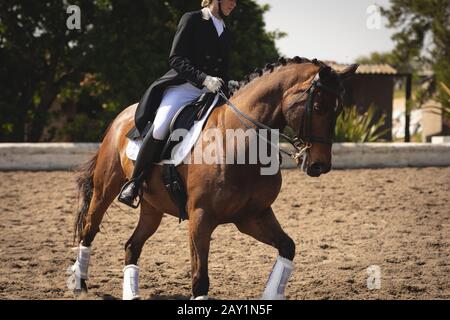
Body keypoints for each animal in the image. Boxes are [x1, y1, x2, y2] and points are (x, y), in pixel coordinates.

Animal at [69, 57, 358, 300]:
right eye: (318, 107)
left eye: (339, 110)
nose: (320, 165)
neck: (239, 142)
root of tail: (121, 117)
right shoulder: (200, 218)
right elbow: (200, 280)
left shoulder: (253, 216)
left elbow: (287, 247)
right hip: (105, 189)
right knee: (89, 229)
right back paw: (79, 284)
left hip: (152, 207)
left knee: (132, 245)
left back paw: (131, 293)